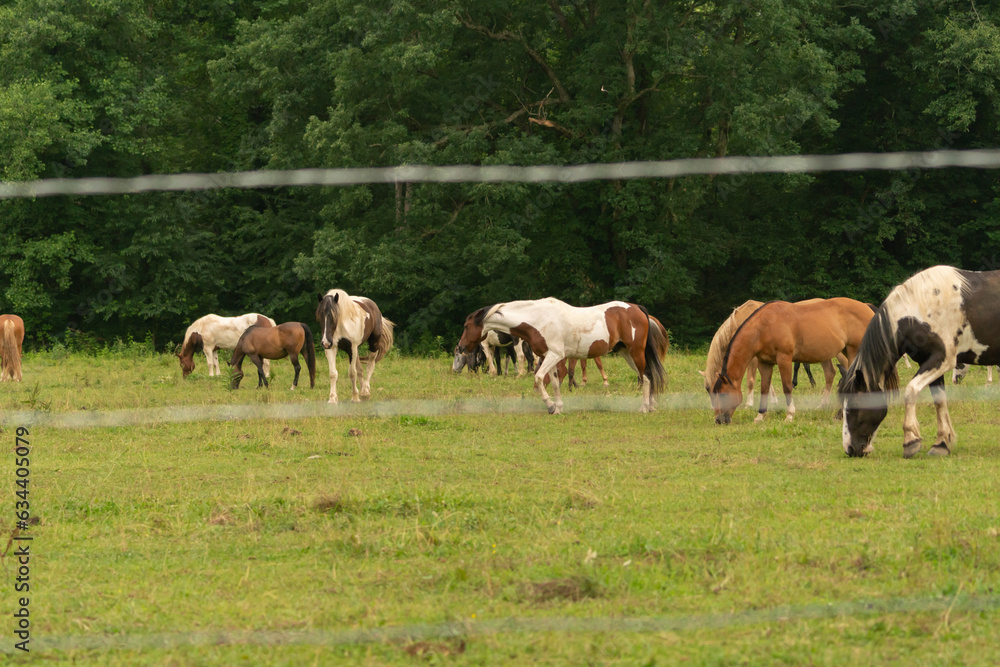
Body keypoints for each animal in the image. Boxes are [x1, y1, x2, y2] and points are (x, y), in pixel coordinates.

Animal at [458, 298, 664, 412]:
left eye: (466, 326)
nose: (461, 346)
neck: (538, 319)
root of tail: (637, 308)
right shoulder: (549, 357)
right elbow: (555, 383)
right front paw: (558, 408)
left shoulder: (554, 356)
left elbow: (539, 377)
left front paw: (549, 405)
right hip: (627, 353)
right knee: (648, 375)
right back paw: (652, 406)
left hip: (635, 352)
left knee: (646, 377)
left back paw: (644, 408)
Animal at [712, 300, 876, 426]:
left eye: (723, 395)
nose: (719, 420)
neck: (764, 326)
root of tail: (867, 308)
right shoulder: (764, 363)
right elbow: (764, 388)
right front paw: (760, 416)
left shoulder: (784, 359)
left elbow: (787, 387)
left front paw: (790, 415)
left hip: (854, 352)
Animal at [840, 266, 1000, 460]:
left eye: (854, 407)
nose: (850, 449)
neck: (920, 309)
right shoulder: (929, 362)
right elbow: (939, 401)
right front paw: (941, 444)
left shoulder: (942, 360)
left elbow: (910, 391)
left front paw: (910, 441)